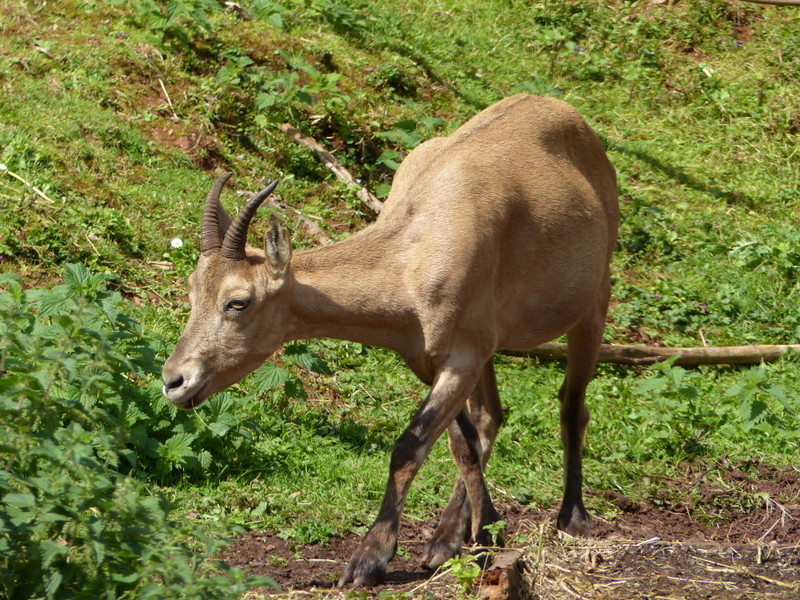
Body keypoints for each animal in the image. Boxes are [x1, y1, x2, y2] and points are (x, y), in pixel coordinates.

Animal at [162, 96, 620, 588]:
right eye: (192, 291)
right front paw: (481, 536)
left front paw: (370, 559)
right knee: (491, 416)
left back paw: (573, 517)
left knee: (572, 406)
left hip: (594, 301)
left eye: (238, 302)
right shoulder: (434, 356)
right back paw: (446, 538)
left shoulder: (461, 357)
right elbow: (461, 444)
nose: (174, 381)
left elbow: (409, 446)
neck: (411, 260)